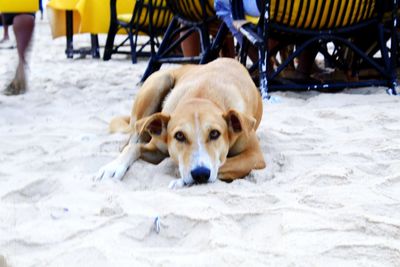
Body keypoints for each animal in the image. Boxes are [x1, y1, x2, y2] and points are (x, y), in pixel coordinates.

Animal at [95, 58, 268, 188]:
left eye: (214, 133)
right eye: (179, 136)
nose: (200, 174)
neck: (202, 95)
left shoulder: (254, 156)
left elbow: (221, 165)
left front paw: (180, 181)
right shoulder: (159, 147)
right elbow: (133, 148)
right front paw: (113, 167)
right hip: (159, 82)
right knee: (131, 141)